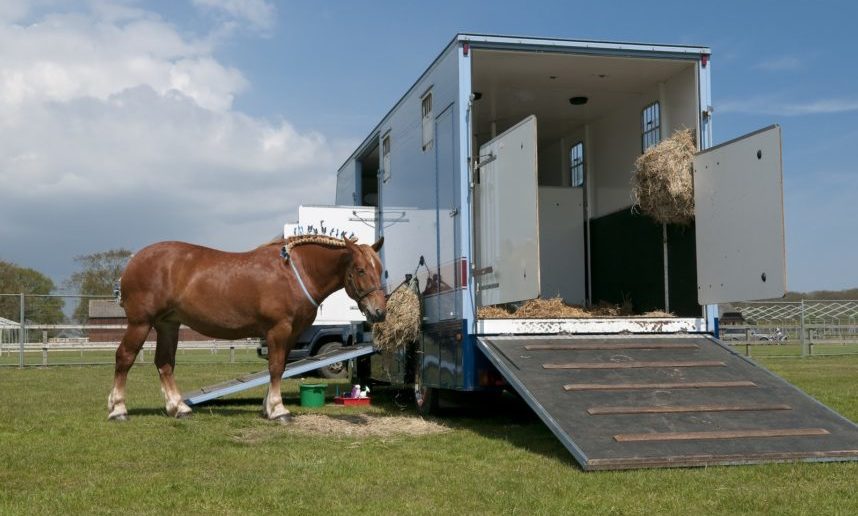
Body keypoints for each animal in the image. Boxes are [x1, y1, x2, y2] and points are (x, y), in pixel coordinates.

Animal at [107, 234, 384, 420]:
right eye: (360, 270)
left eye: (380, 269)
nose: (379, 311)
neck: (295, 274)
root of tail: (133, 261)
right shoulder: (279, 329)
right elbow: (275, 368)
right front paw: (278, 410)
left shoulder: (291, 333)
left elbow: (280, 367)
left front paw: (268, 406)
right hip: (141, 323)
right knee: (125, 357)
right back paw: (118, 409)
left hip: (168, 325)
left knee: (165, 364)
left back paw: (178, 408)